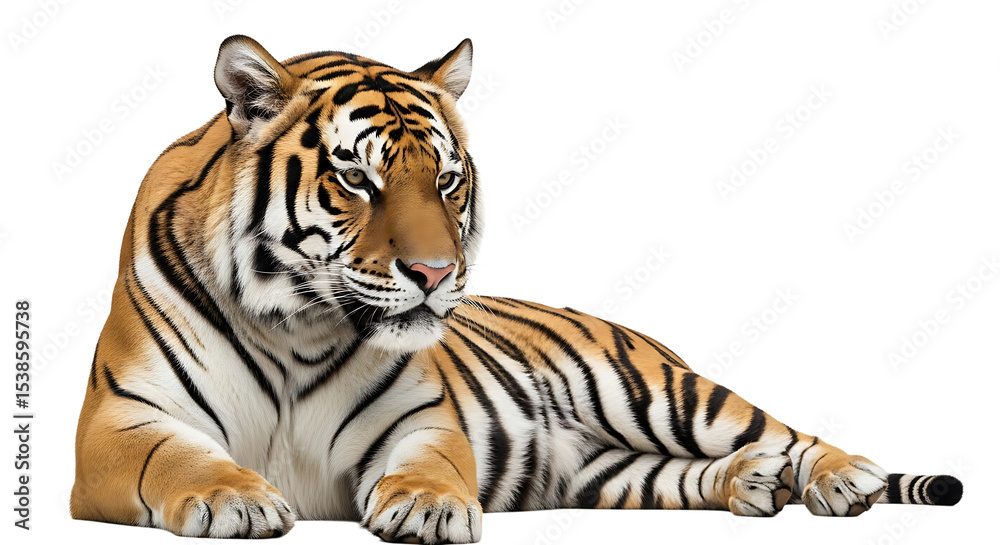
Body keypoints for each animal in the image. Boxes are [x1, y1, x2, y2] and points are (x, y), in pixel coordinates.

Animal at [71, 35, 963, 543]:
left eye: (448, 180)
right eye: (356, 178)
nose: (435, 275)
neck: (299, 323)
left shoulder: (422, 418)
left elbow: (431, 463)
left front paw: (428, 509)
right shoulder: (118, 420)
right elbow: (177, 453)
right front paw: (236, 496)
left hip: (663, 393)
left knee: (783, 429)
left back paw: (839, 477)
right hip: (603, 473)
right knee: (683, 473)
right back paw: (749, 482)